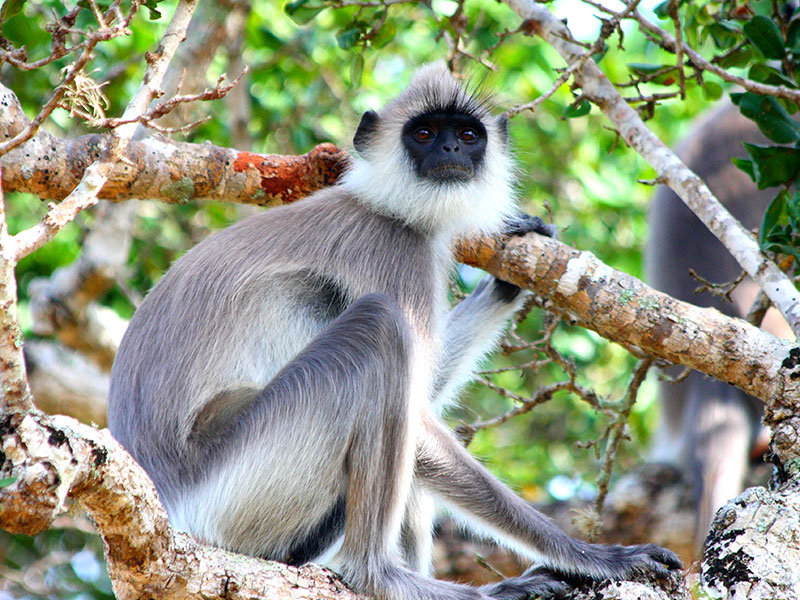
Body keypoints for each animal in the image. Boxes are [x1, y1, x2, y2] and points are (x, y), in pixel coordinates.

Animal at [108, 64, 680, 600]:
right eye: (424, 133)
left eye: (467, 135)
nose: (450, 148)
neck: (383, 206)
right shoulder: (394, 251)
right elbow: (418, 414)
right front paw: (593, 556)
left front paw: (507, 279)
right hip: (242, 481)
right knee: (380, 332)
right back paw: (381, 576)